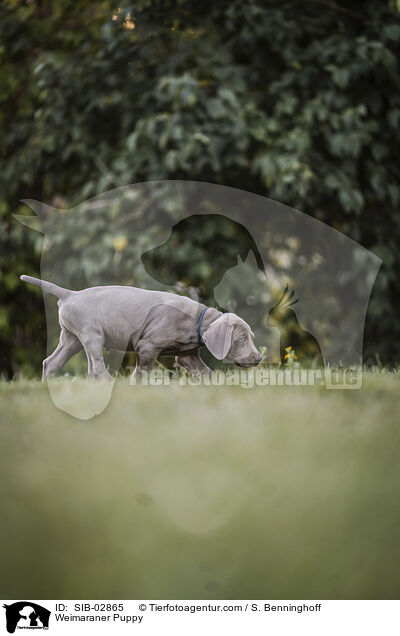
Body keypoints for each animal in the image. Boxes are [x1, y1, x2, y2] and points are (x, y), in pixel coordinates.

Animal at [21, 274, 262, 378]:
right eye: (241, 340)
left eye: (251, 337)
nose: (258, 358)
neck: (197, 319)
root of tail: (70, 294)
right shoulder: (147, 347)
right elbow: (141, 373)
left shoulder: (187, 355)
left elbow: (205, 372)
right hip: (91, 333)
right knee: (95, 366)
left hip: (71, 338)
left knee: (51, 363)